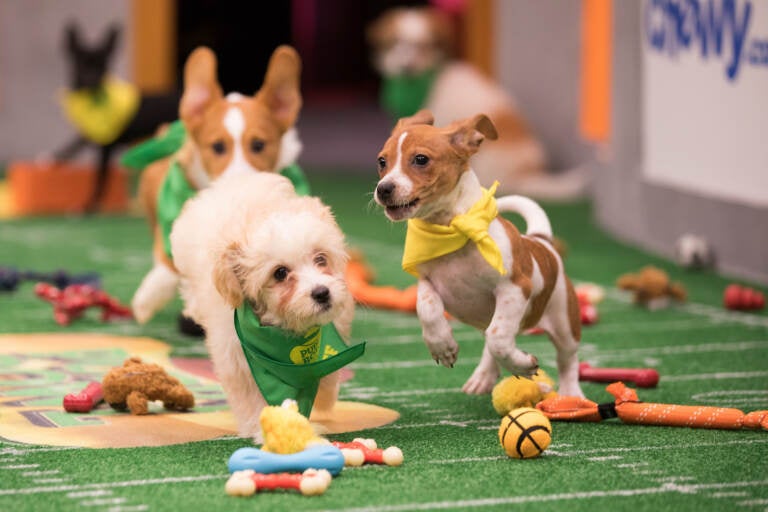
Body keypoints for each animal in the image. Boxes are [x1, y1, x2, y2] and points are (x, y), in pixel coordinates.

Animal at [51, 23, 178, 211]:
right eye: (80, 64)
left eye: (103, 65)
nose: (92, 79)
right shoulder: (93, 135)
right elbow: (73, 145)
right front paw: (54, 158)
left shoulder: (106, 146)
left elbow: (100, 179)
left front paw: (89, 206)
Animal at [171, 172, 354, 440]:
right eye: (280, 273)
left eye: (321, 258)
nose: (322, 293)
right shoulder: (236, 355)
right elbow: (250, 398)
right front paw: (263, 429)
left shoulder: (334, 328)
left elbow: (327, 372)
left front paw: (323, 400)